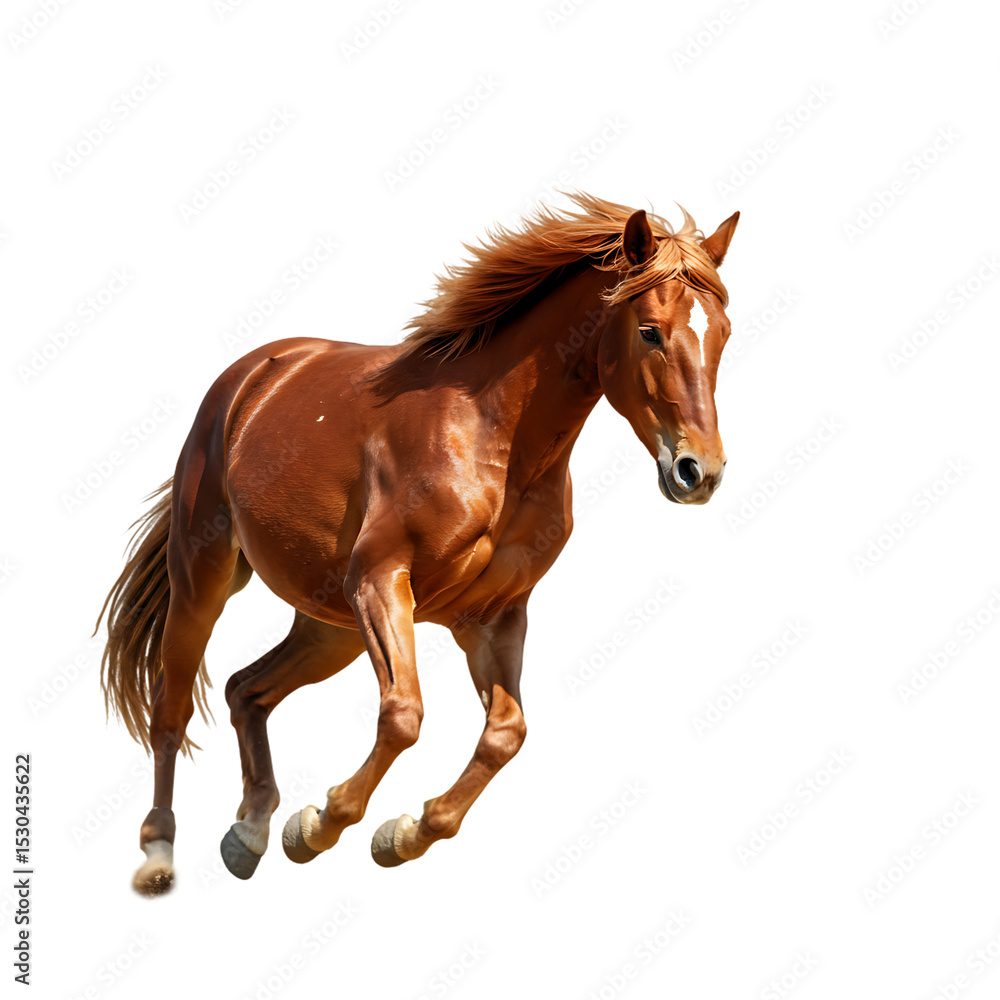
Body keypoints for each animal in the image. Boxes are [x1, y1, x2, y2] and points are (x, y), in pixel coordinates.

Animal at [97, 193, 739, 895]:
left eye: (723, 333)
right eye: (650, 330)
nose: (699, 472)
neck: (491, 436)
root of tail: (250, 378)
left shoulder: (492, 615)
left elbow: (505, 733)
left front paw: (403, 833)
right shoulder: (382, 582)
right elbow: (404, 714)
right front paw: (321, 825)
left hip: (330, 626)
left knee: (245, 690)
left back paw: (249, 833)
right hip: (205, 578)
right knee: (171, 709)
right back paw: (160, 853)